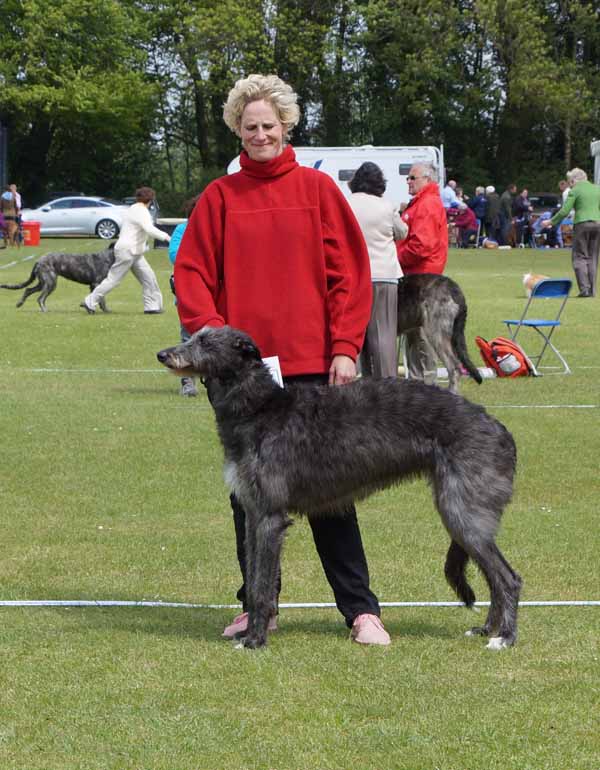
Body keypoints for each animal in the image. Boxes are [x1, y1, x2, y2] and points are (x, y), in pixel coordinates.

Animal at [157, 322, 524, 648]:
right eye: (193, 336)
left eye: (205, 342)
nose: (162, 354)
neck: (260, 409)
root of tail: (502, 431)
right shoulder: (252, 513)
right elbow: (255, 579)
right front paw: (249, 633)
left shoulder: (270, 517)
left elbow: (262, 587)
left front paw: (256, 640)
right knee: (494, 578)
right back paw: (487, 629)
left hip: (463, 512)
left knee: (508, 578)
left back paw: (504, 637)